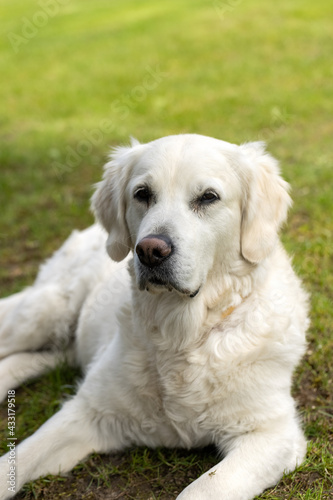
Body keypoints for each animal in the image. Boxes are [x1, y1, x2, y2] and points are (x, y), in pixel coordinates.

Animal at [0, 134, 308, 500]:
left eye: (208, 197)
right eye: (142, 194)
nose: (150, 251)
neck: (181, 334)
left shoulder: (272, 434)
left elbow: (202, 489)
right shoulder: (89, 411)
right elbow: (20, 457)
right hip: (47, 310)